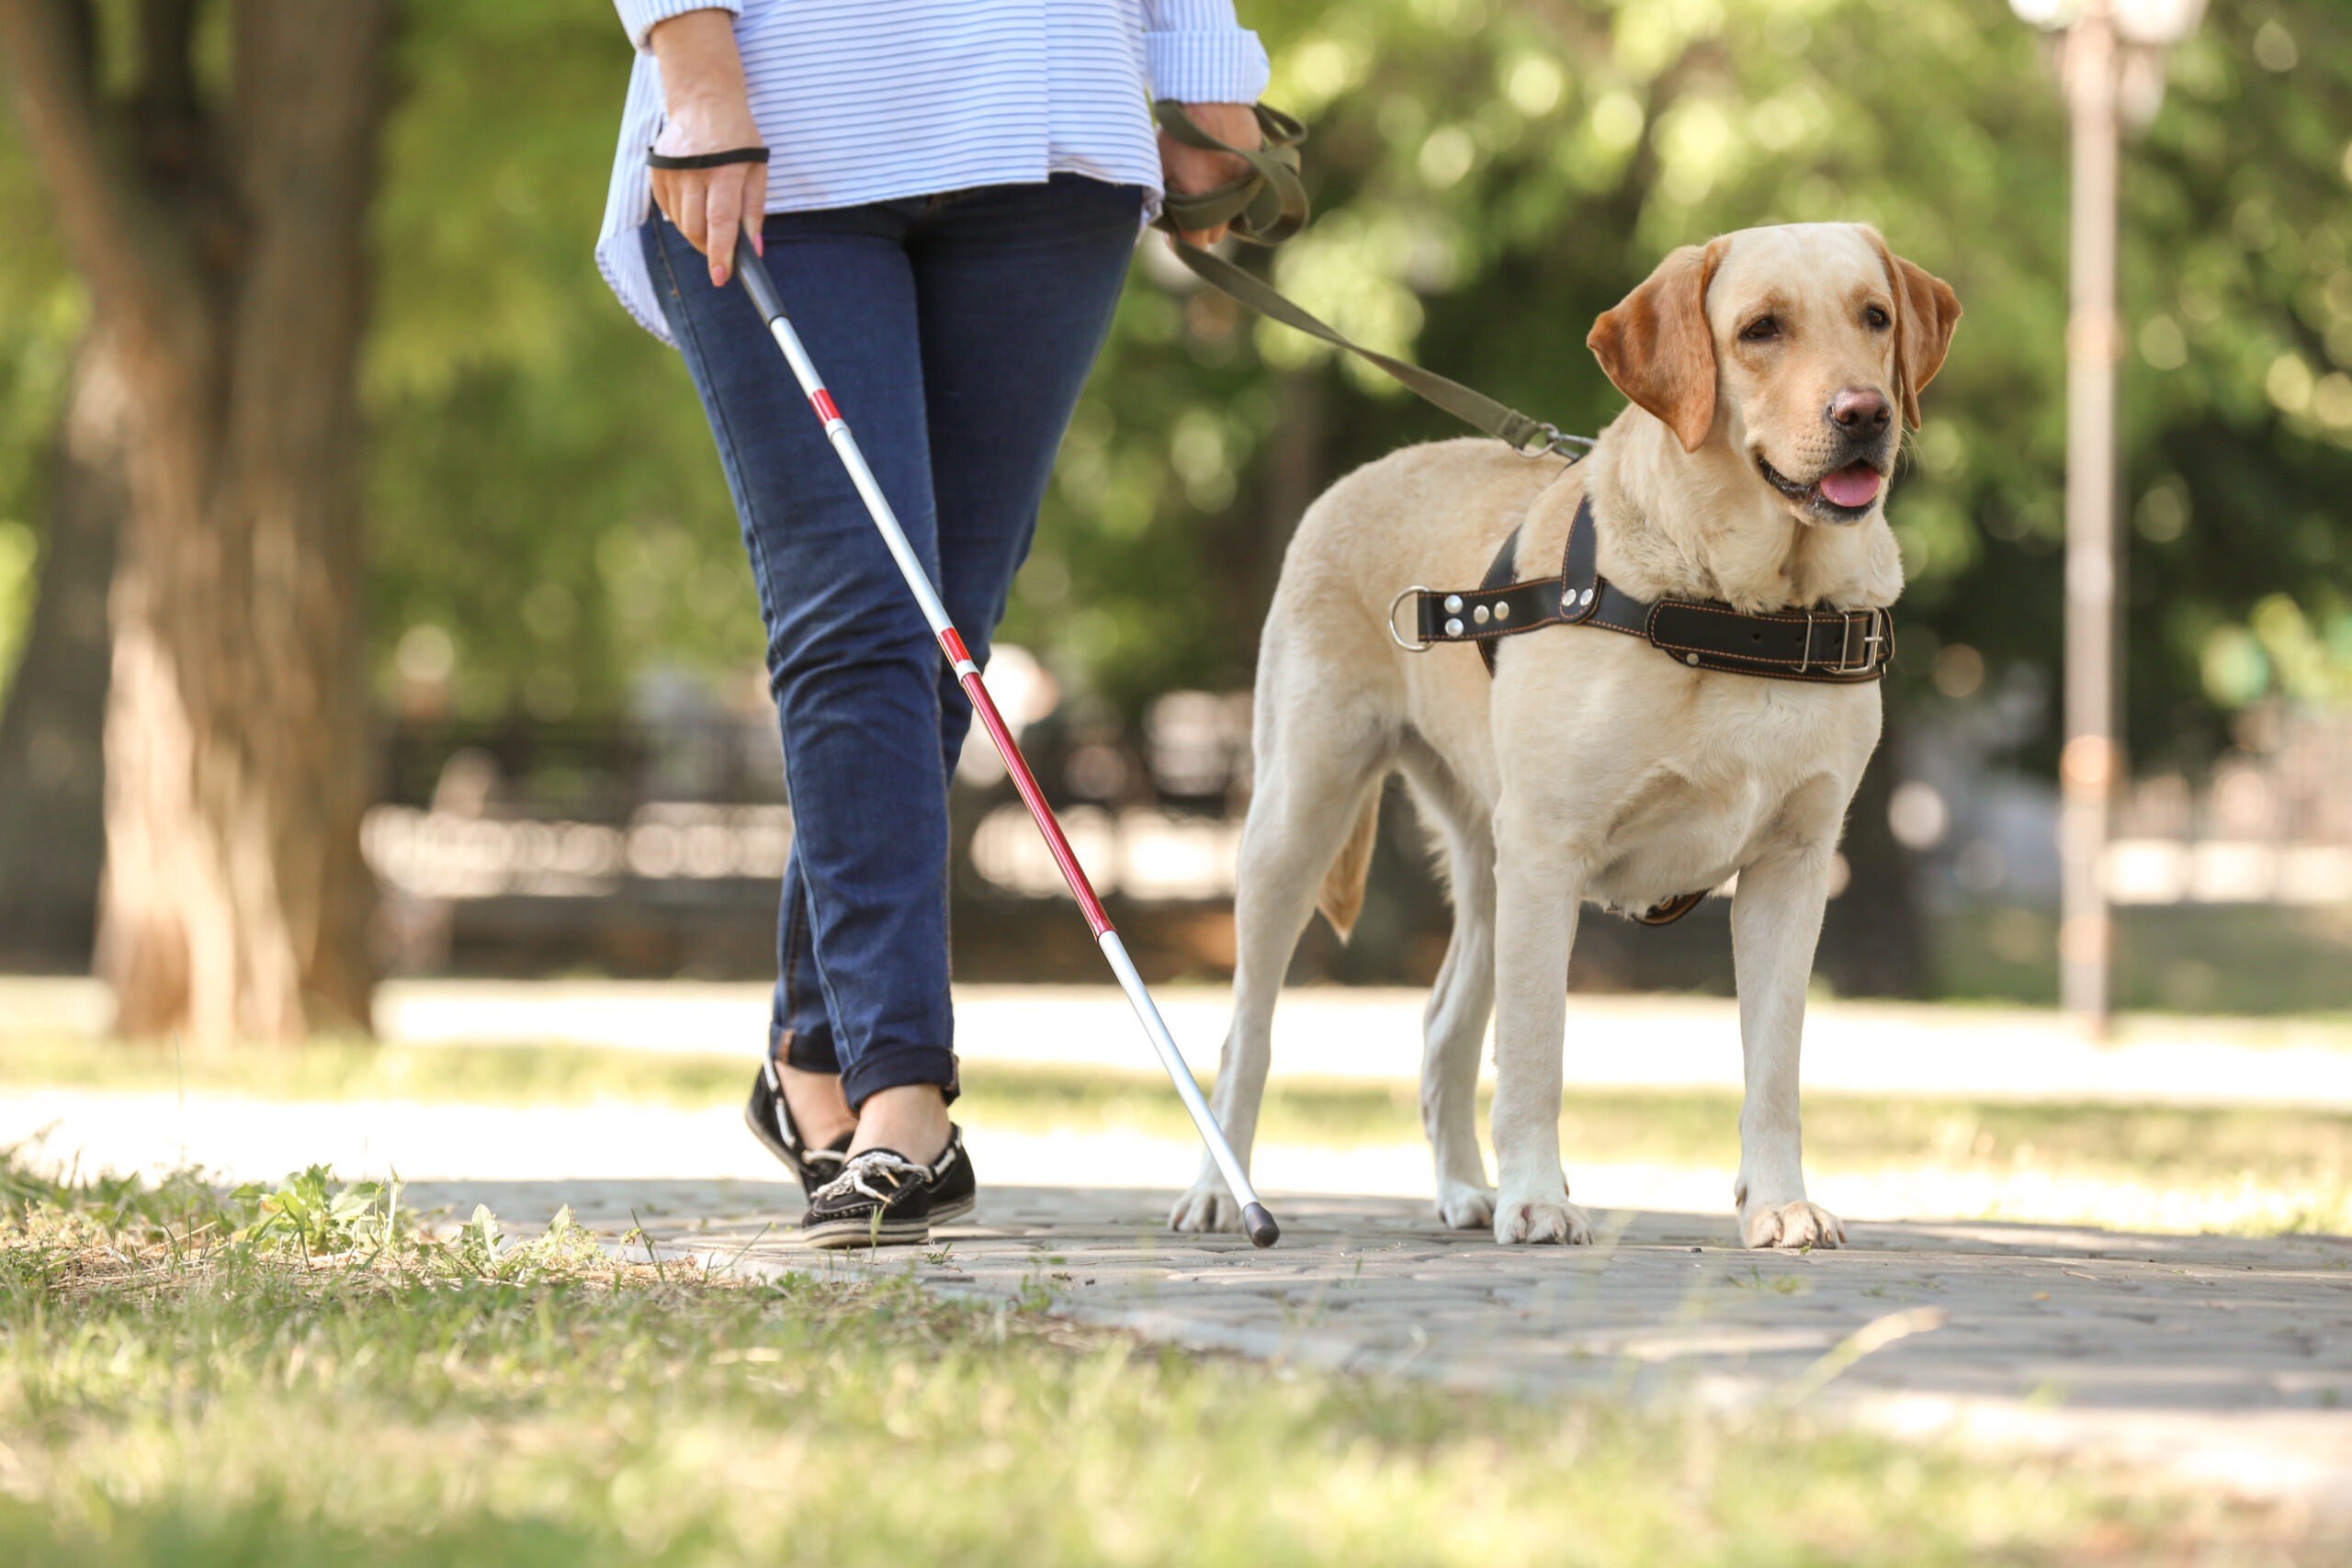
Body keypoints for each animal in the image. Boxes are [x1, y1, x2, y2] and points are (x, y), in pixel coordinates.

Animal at [1166, 220, 1956, 1250]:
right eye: (1760, 330)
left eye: (1874, 317)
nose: (1865, 412)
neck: (1736, 611)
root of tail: (1368, 471)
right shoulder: (1551, 850)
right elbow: (1538, 1047)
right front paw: (1539, 1196)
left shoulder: (1793, 866)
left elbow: (1774, 1066)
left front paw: (1778, 1202)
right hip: (1301, 815)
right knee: (1247, 1031)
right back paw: (1223, 1192)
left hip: (1485, 864)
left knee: (1442, 1026)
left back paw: (1466, 1190)